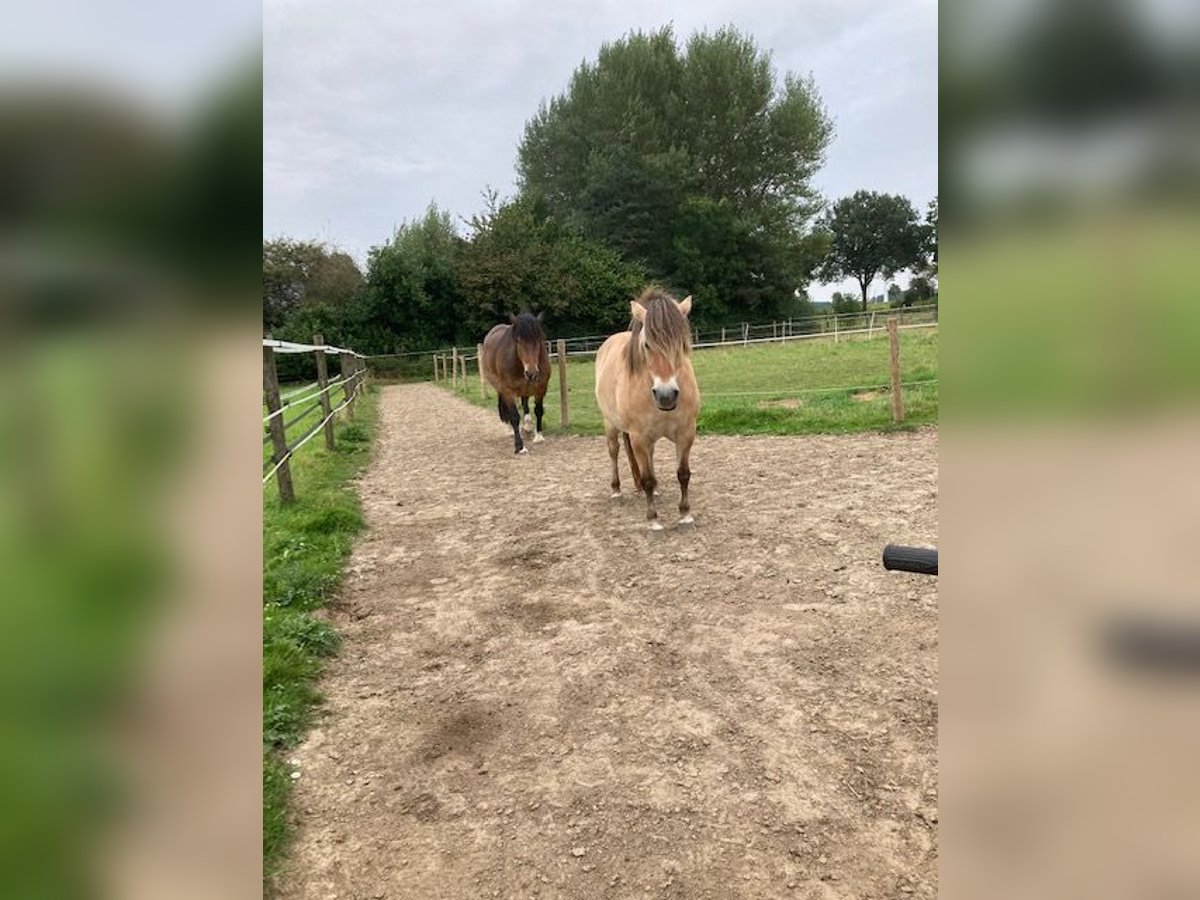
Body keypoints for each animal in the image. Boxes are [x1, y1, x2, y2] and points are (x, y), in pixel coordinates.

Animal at [480, 314, 549, 453]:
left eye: (539, 339)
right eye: (518, 341)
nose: (531, 373)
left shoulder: (541, 388)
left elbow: (538, 410)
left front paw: (538, 436)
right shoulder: (508, 391)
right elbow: (514, 416)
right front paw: (520, 446)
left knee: (525, 403)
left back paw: (527, 426)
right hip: (502, 389)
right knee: (508, 411)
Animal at [595, 289, 700, 528]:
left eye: (682, 343)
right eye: (646, 345)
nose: (666, 395)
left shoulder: (686, 433)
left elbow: (683, 474)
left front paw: (685, 514)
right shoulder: (639, 437)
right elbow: (647, 479)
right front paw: (653, 519)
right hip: (610, 424)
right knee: (613, 451)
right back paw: (616, 490)